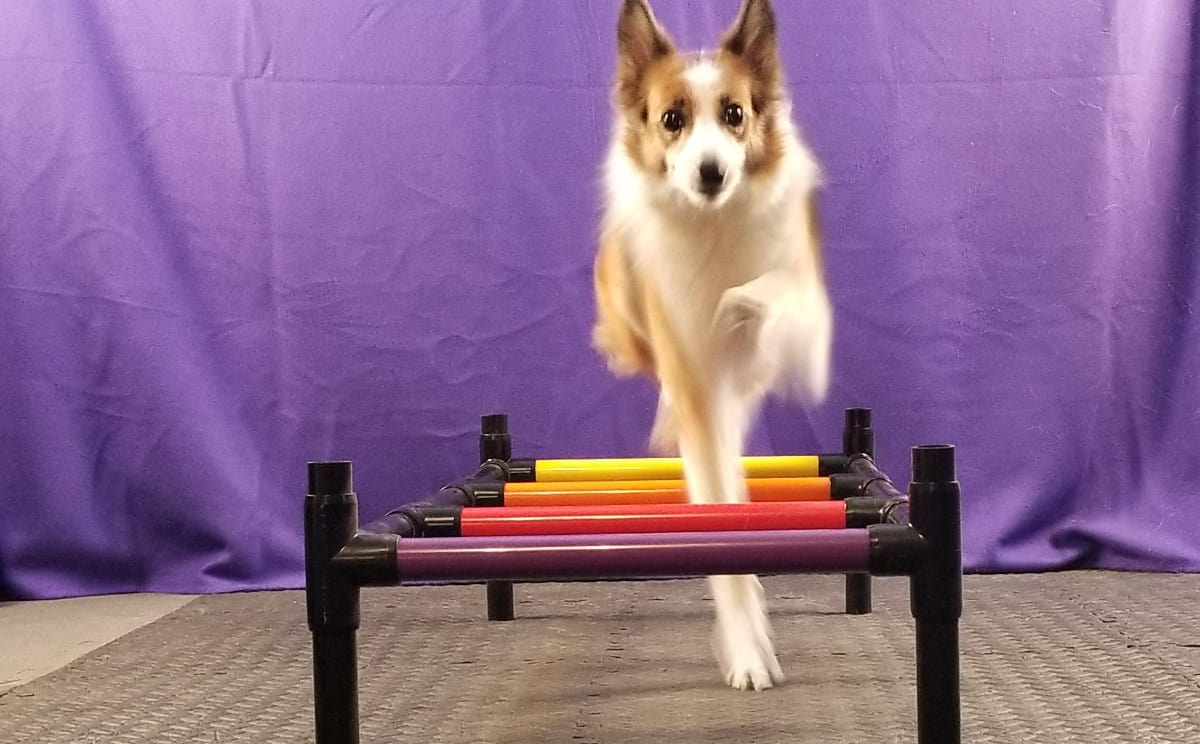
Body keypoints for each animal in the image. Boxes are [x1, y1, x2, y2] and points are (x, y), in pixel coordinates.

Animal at [590, 0, 835, 691]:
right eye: (672, 119)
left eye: (734, 114)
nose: (711, 171)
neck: (713, 225)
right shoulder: (694, 386)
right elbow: (720, 531)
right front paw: (748, 653)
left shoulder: (812, 326)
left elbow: (771, 291)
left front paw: (737, 306)